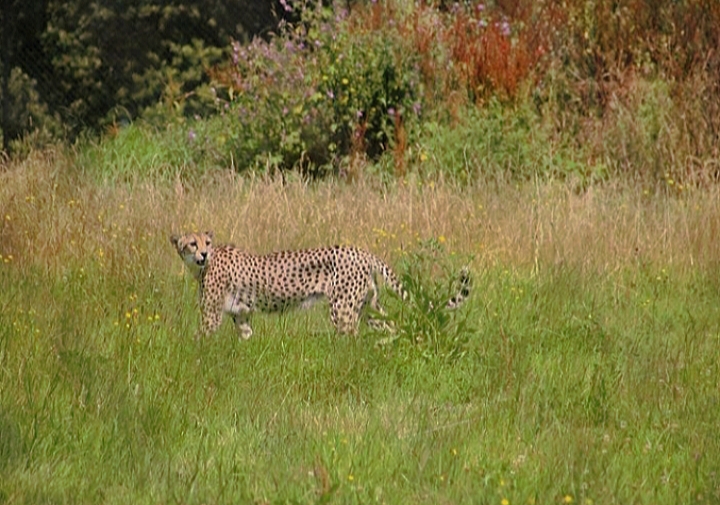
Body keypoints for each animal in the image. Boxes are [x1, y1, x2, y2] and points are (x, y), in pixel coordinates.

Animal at [170, 231, 471, 339]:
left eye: (206, 242)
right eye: (192, 243)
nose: (203, 254)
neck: (201, 268)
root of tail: (362, 250)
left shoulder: (211, 316)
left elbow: (198, 339)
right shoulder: (241, 316)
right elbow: (246, 337)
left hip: (342, 308)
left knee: (350, 336)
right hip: (366, 306)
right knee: (391, 324)